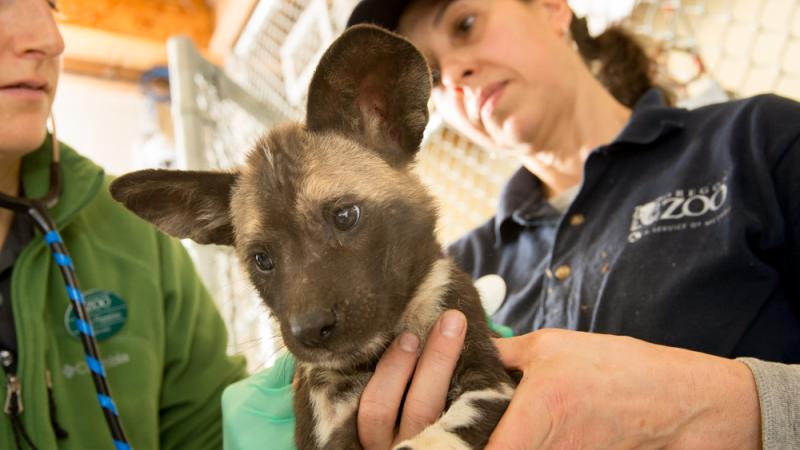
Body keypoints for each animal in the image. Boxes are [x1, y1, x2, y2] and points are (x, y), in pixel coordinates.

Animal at [109, 25, 516, 450]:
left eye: (345, 216)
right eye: (262, 260)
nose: (311, 329)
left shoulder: (490, 384)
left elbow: (435, 437)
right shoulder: (327, 426)